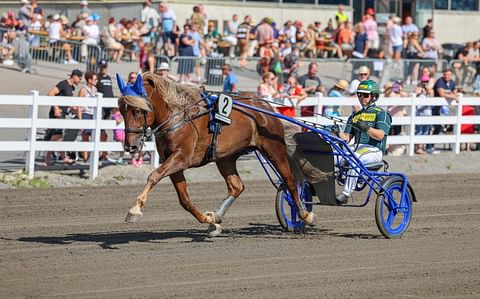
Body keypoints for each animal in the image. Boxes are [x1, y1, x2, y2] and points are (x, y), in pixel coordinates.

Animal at [116, 72, 316, 237]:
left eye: (137, 110)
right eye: (121, 111)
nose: (131, 146)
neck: (177, 116)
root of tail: (265, 107)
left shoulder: (181, 158)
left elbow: (153, 175)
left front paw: (135, 209)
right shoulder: (173, 163)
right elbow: (184, 200)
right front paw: (209, 220)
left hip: (274, 149)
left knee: (290, 180)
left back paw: (305, 214)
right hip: (225, 158)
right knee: (237, 187)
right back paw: (217, 217)